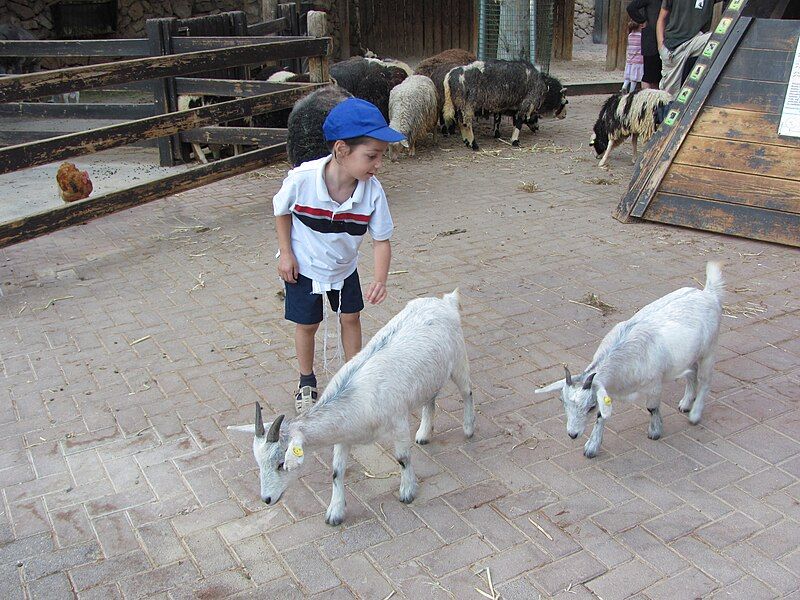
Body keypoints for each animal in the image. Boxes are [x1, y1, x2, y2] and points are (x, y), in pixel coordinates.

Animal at [227, 290, 476, 524]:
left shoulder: (398, 421)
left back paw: (468, 428)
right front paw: (335, 513)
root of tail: (444, 301)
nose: (266, 499)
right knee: (430, 398)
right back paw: (424, 434)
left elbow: (403, 458)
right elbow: (337, 473)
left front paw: (407, 492)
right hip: (430, 375)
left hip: (459, 359)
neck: (357, 398)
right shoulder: (343, 436)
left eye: (281, 464)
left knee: (467, 392)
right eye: (259, 463)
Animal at [536, 262, 720, 460]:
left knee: (705, 381)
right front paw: (592, 447)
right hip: (689, 354)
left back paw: (695, 414)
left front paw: (655, 431)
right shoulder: (608, 390)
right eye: (562, 401)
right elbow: (603, 415)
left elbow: (652, 408)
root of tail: (708, 293)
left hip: (709, 350)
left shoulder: (654, 384)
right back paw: (686, 403)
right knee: (691, 372)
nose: (572, 434)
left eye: (590, 406)